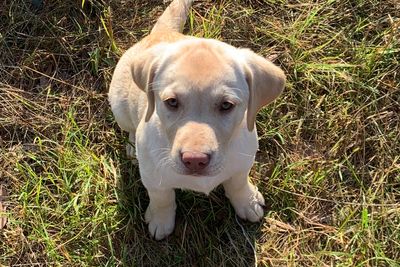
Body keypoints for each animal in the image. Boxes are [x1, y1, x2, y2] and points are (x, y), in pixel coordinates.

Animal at [108, 0, 286, 241]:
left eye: (226, 105)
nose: (194, 160)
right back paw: (131, 145)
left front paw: (247, 202)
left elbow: (238, 183)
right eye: (172, 102)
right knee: (129, 127)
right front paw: (161, 220)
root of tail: (162, 33)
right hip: (118, 104)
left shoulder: (243, 161)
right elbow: (162, 197)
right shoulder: (153, 177)